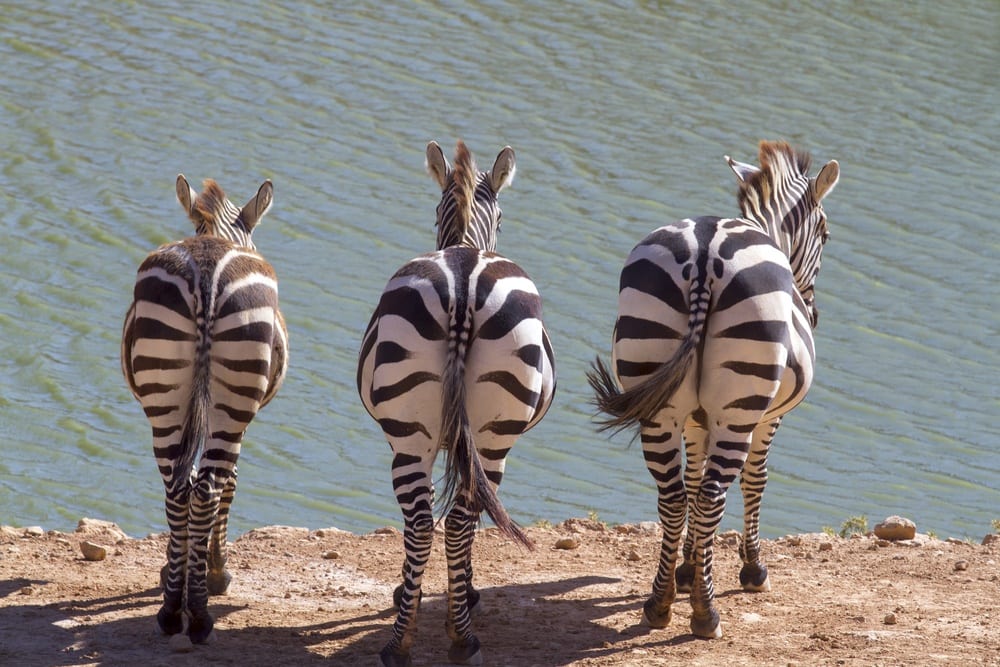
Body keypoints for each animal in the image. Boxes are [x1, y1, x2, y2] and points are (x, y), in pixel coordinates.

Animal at [120, 175, 290, 644]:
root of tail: (208, 272)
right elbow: (230, 483)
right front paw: (217, 571)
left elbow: (190, 477)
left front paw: (171, 570)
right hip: (230, 404)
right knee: (209, 486)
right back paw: (197, 612)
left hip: (165, 395)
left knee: (180, 488)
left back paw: (172, 609)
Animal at [358, 141, 560, 667]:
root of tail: (465, 284)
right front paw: (461, 593)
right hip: (490, 437)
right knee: (458, 519)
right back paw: (458, 637)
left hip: (415, 434)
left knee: (427, 522)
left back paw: (403, 641)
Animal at [588, 141, 840, 640]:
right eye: (824, 232)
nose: (813, 311)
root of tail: (706, 252)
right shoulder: (767, 417)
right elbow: (755, 480)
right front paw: (752, 569)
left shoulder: (694, 419)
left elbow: (692, 477)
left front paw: (685, 570)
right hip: (739, 409)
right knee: (711, 498)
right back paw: (705, 613)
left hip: (658, 401)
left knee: (673, 497)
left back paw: (659, 604)